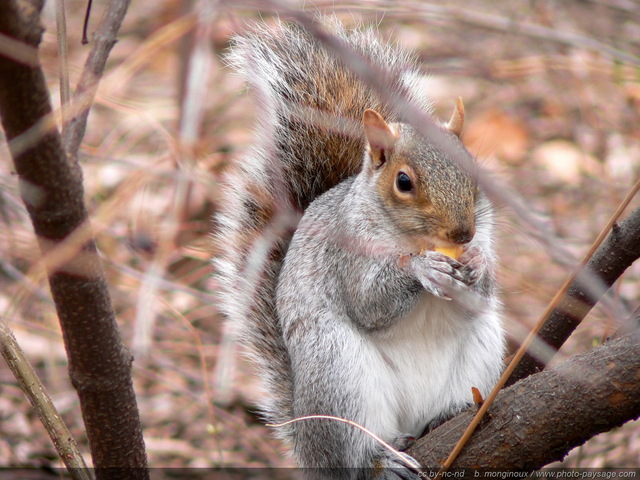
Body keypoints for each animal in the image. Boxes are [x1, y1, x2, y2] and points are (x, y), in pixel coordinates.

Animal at [215, 16, 504, 478]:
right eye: (404, 182)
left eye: (474, 173)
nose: (462, 235)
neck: (412, 238)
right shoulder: (345, 254)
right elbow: (368, 304)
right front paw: (421, 269)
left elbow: (479, 295)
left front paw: (477, 262)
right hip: (339, 373)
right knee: (350, 456)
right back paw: (379, 461)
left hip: (481, 348)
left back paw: (451, 413)